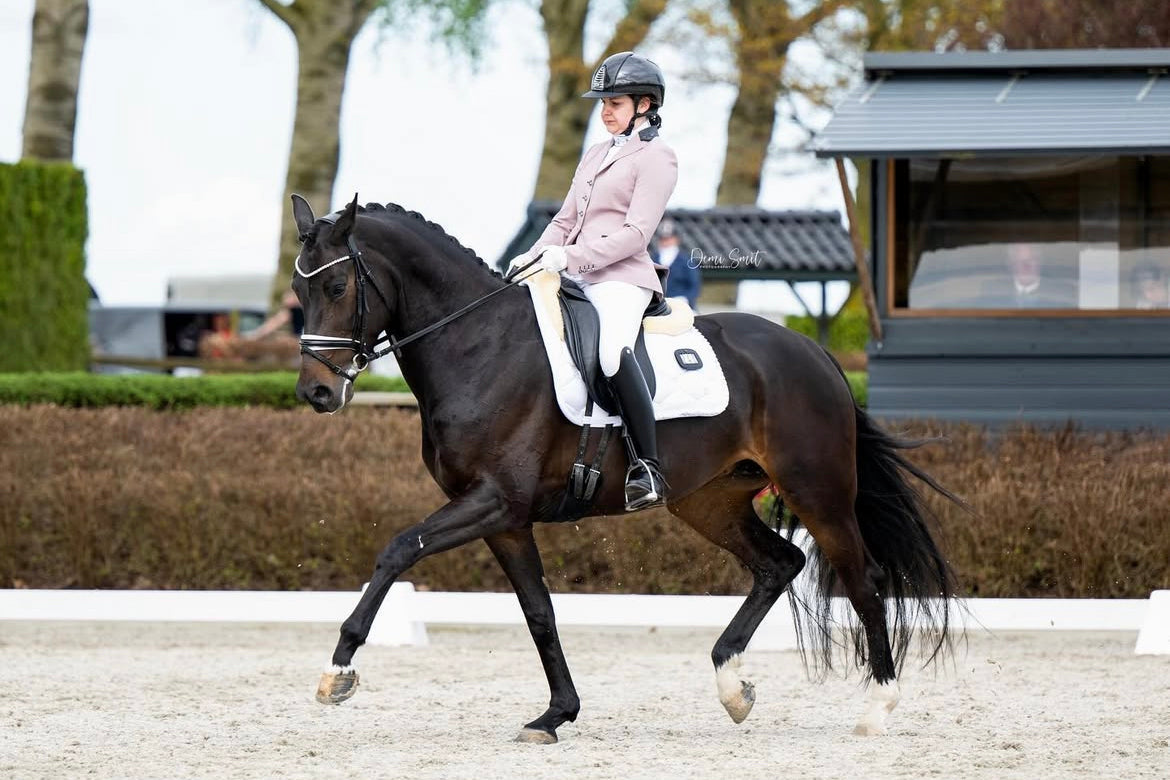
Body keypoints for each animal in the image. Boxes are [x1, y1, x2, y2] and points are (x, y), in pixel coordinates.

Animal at [289, 194, 959, 743]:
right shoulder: (505, 519)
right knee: (780, 564)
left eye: (338, 287)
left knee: (862, 579)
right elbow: (539, 613)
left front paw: (338, 671)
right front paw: (555, 715)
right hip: (709, 500)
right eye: (300, 293)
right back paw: (733, 686)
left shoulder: (493, 501)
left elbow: (398, 550)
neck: (479, 344)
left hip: (816, 490)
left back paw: (877, 707)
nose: (316, 393)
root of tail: (813, 351)